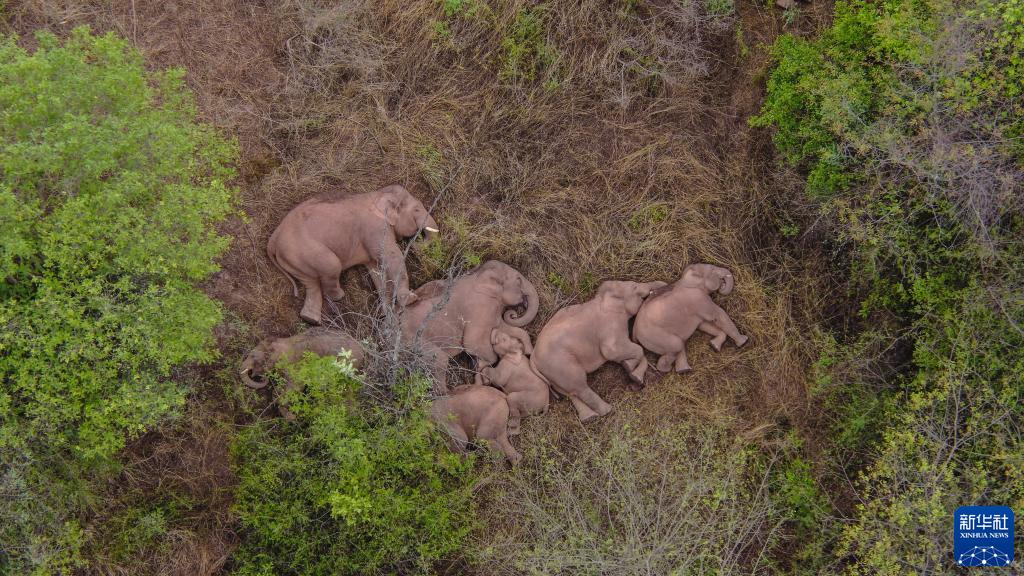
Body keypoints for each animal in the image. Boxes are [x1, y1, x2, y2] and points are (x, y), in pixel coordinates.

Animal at [237, 327, 366, 416]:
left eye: (253, 356)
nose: (263, 377)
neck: (284, 342)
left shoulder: (296, 366)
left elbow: (293, 387)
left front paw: (292, 417)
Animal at [266, 183, 438, 323]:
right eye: (416, 209)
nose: (414, 242)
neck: (377, 194)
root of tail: (273, 240)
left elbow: (376, 269)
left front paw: (387, 313)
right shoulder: (375, 227)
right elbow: (391, 256)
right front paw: (410, 300)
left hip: (294, 259)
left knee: (311, 283)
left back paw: (310, 319)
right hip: (305, 251)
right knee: (331, 266)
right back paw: (339, 296)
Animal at [401, 259, 540, 389]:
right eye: (519, 281)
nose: (513, 314)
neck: (478, 274)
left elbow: (504, 328)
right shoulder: (480, 307)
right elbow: (472, 343)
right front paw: (480, 368)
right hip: (416, 341)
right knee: (440, 360)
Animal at [532, 278, 667, 420]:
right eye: (634, 286)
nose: (663, 285)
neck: (603, 298)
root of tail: (533, 359)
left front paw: (631, 371)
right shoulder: (610, 325)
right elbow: (615, 351)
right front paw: (630, 368)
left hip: (552, 373)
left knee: (570, 392)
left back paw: (589, 417)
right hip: (560, 364)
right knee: (579, 385)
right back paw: (606, 411)